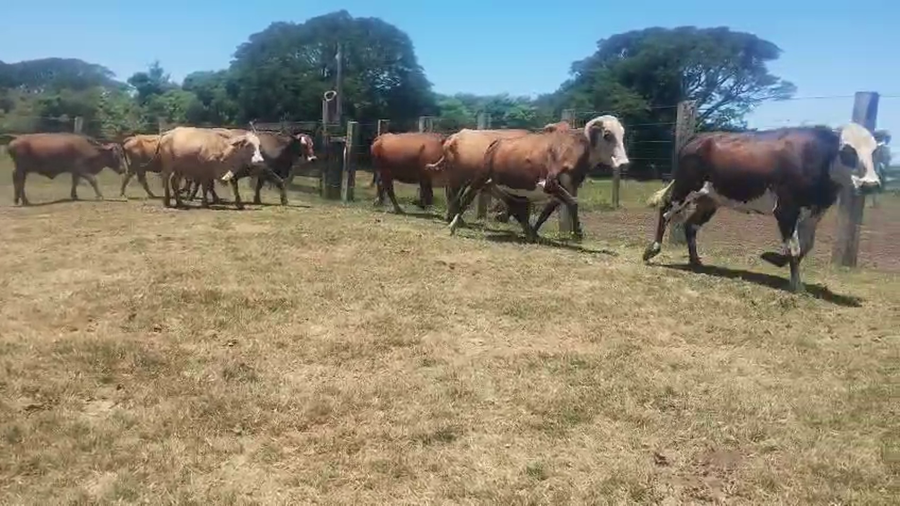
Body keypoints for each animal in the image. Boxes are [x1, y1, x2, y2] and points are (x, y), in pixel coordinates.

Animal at [445, 115, 629, 241]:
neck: (575, 150)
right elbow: (574, 203)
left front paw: (534, 232)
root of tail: (496, 142)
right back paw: (453, 225)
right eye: (607, 134)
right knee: (466, 198)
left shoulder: (566, 188)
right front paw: (578, 233)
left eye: (622, 134)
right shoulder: (550, 183)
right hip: (481, 177)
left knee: (512, 204)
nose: (624, 162)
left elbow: (549, 211)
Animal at [642, 122, 882, 293]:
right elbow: (794, 248)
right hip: (685, 187)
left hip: (710, 199)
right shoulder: (786, 210)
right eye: (848, 150)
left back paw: (695, 261)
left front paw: (775, 260)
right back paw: (652, 250)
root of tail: (697, 138)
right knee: (665, 210)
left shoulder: (814, 212)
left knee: (690, 225)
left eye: (875, 152)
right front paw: (797, 286)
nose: (871, 184)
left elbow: (806, 246)